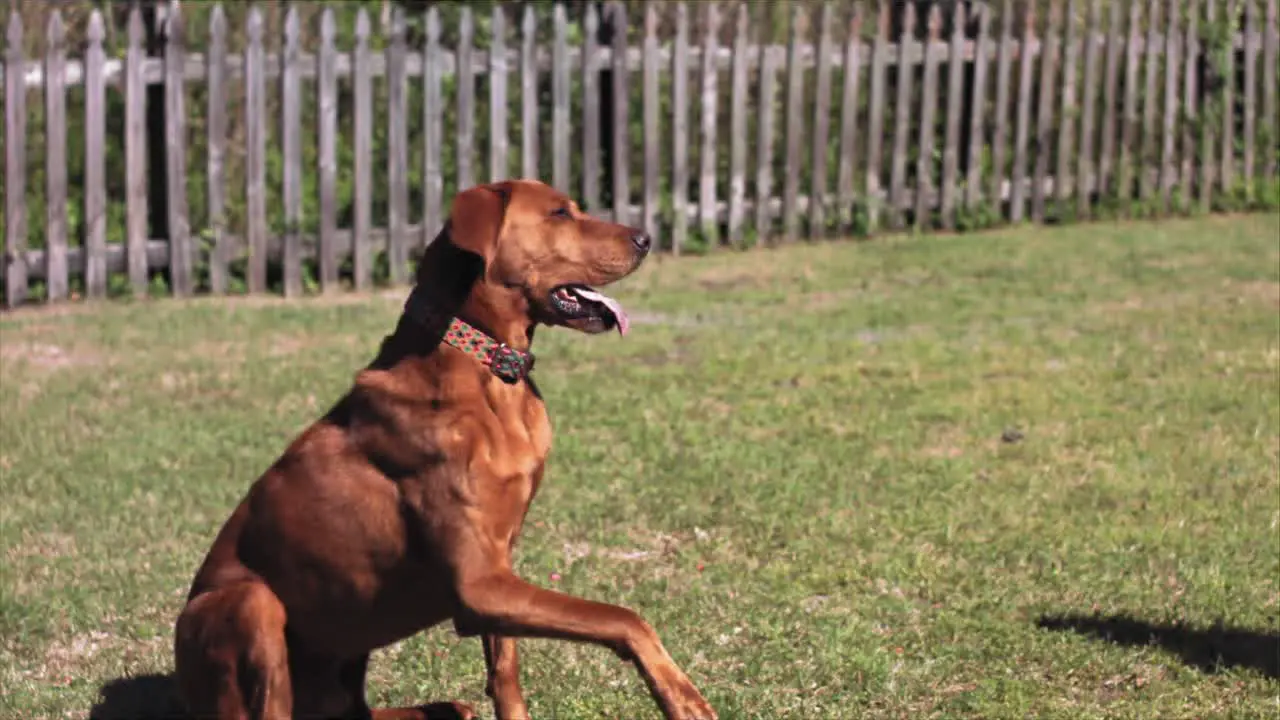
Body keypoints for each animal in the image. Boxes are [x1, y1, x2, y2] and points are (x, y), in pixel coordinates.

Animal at [174, 180, 716, 717]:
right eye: (560, 213)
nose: (647, 238)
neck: (489, 370)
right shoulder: (479, 585)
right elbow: (624, 617)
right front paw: (682, 696)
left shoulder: (499, 570)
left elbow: (506, 671)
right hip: (250, 604)